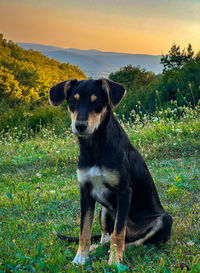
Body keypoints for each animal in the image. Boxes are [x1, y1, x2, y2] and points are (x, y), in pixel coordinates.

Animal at [49, 78, 173, 264]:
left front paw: (115, 261)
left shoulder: (124, 191)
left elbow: (118, 233)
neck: (95, 146)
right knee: (105, 237)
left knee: (136, 241)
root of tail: (133, 233)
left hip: (165, 219)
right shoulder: (85, 192)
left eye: (97, 102)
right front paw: (80, 257)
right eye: (72, 101)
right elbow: (84, 231)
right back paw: (96, 249)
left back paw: (119, 250)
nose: (80, 126)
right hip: (104, 209)